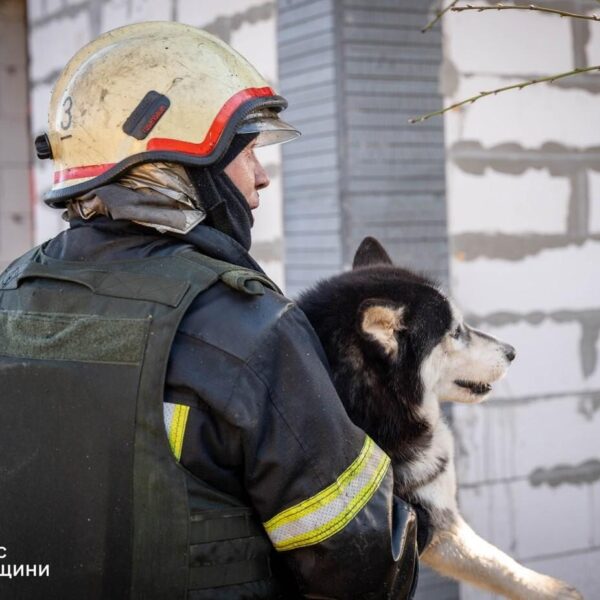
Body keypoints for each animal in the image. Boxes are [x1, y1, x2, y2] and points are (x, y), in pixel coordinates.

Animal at [298, 237, 580, 596]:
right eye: (455, 332)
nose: (512, 352)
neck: (378, 407)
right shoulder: (421, 521)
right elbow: (493, 560)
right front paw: (550, 589)